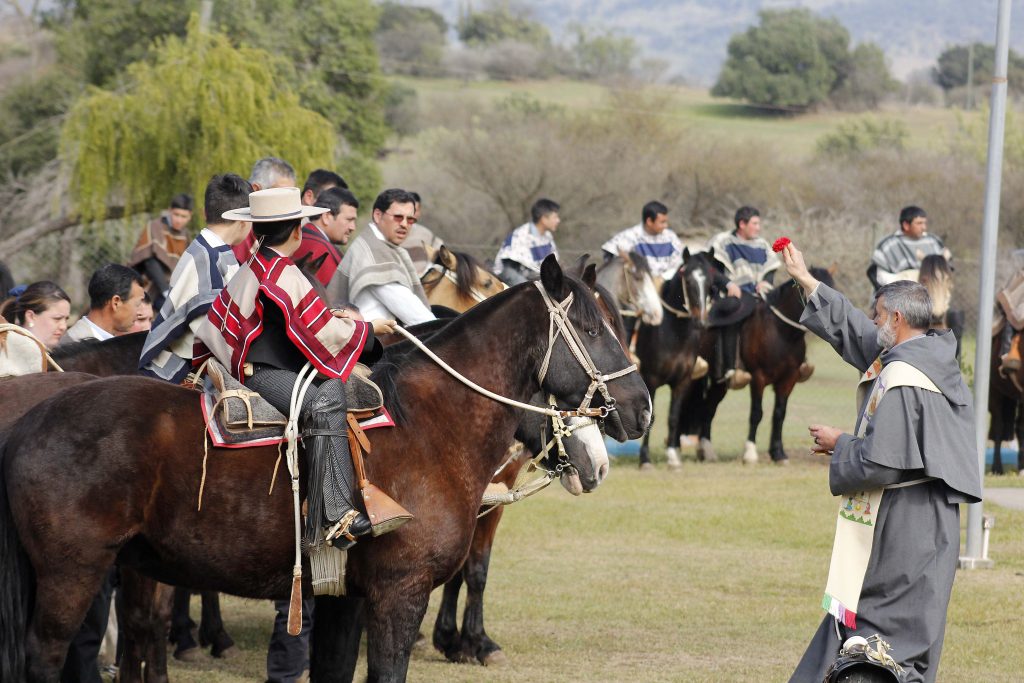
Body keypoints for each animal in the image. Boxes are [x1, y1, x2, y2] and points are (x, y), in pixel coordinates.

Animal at [0, 258, 651, 683]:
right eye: (592, 329)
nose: (641, 408)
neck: (430, 423)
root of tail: (28, 422)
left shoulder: (346, 602)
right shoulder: (398, 595)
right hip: (72, 576)